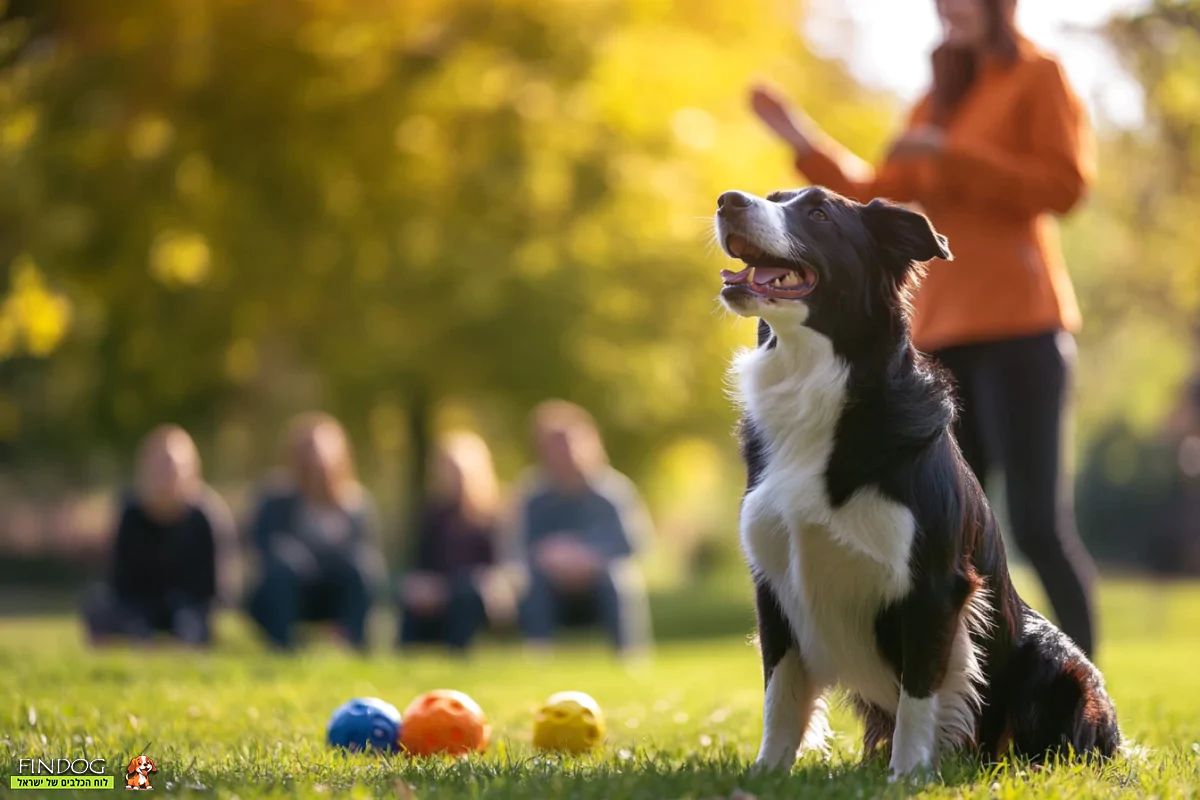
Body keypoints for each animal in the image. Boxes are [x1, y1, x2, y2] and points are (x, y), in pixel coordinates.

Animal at [710, 185, 1113, 777]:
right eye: (771, 196)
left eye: (818, 213)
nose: (728, 200)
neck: (818, 384)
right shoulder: (774, 580)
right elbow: (780, 692)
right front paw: (768, 773)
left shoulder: (935, 584)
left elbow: (920, 693)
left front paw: (907, 776)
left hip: (1057, 662)